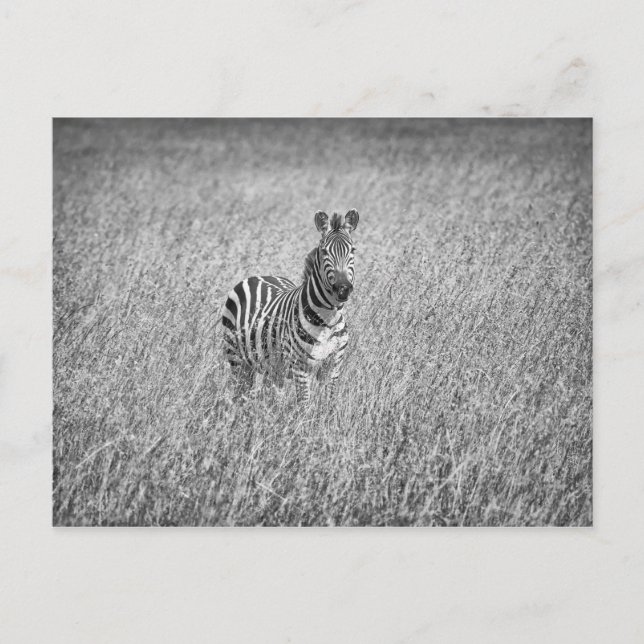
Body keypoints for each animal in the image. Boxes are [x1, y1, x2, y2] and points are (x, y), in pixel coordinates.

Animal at [221, 209, 359, 401]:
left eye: (352, 250)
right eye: (324, 251)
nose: (343, 288)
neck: (327, 320)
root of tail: (258, 276)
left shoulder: (333, 366)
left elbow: (328, 403)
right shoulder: (300, 367)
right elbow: (305, 404)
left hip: (271, 367)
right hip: (237, 360)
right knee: (239, 393)